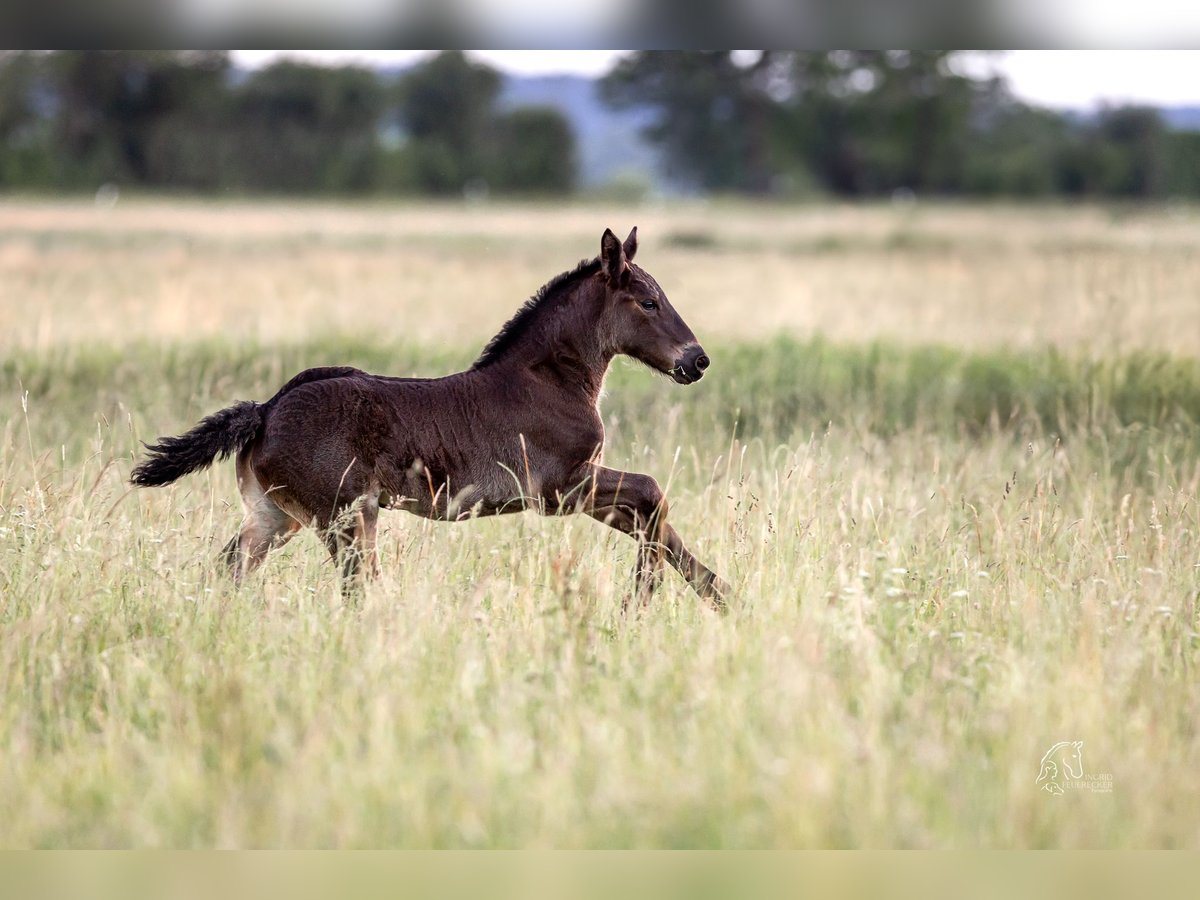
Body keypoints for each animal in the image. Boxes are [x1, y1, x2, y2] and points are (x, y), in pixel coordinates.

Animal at [131, 229, 729, 614]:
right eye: (648, 303)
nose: (697, 360)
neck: (549, 381)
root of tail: (265, 410)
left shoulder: (580, 492)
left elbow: (653, 519)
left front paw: (720, 597)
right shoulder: (559, 489)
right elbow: (652, 493)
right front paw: (640, 600)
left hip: (275, 518)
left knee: (226, 571)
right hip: (345, 519)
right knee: (354, 590)